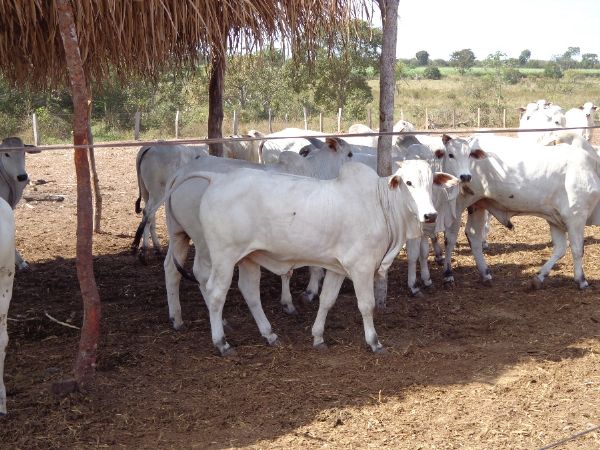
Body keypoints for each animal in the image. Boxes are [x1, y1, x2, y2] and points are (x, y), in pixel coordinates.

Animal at [163, 159, 454, 356]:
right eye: (408, 183)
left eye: (431, 183)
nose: (429, 215)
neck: (380, 204)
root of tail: (216, 179)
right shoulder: (360, 267)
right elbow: (366, 305)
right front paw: (373, 341)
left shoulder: (337, 268)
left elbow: (326, 300)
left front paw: (317, 337)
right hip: (223, 255)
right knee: (214, 291)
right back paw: (221, 342)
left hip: (248, 257)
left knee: (249, 292)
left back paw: (269, 334)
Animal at [442, 132, 600, 290]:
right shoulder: (576, 216)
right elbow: (577, 249)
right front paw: (581, 280)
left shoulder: (556, 219)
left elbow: (560, 248)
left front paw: (539, 277)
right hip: (456, 203)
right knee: (450, 236)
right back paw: (448, 274)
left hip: (478, 205)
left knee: (473, 234)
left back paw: (485, 274)